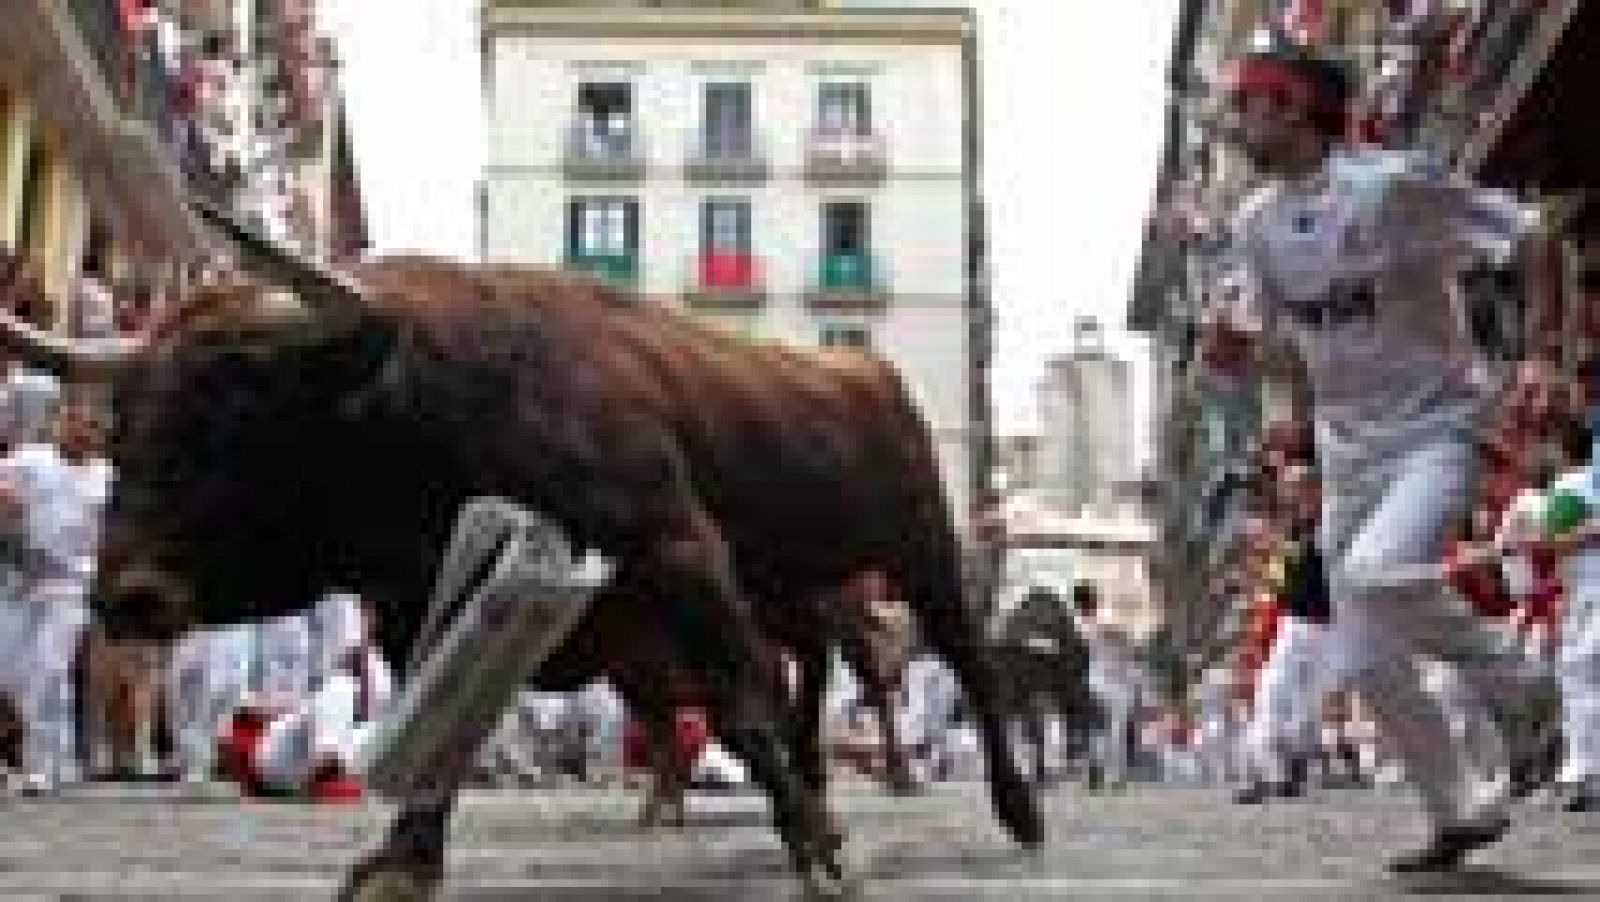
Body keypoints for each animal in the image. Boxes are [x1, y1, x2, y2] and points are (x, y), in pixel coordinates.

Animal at [0, 241, 1036, 902]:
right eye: (124, 423)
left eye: (238, 415)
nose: (128, 596)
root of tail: (867, 375)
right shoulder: (423, 604)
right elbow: (441, 721)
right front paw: (404, 860)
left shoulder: (678, 550)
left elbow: (742, 705)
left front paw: (820, 853)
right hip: (789, 588)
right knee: (810, 673)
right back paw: (817, 789)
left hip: (920, 554)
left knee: (967, 671)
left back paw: (1012, 808)